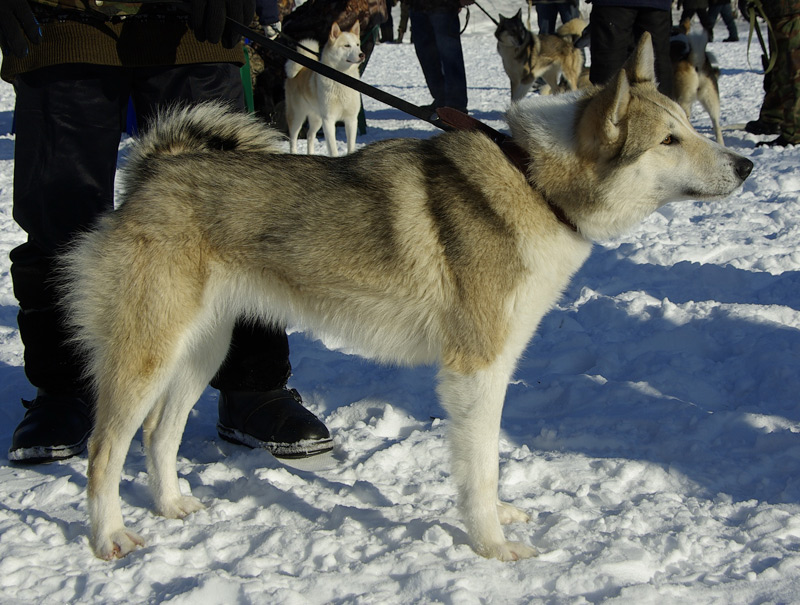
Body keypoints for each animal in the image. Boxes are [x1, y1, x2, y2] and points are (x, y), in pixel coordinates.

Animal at [286, 21, 364, 155]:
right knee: (293, 139)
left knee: (310, 135)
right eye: (347, 45)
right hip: (297, 116)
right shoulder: (328, 120)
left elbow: (351, 146)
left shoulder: (351, 120)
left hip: (316, 118)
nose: (362, 54)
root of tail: (300, 68)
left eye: (357, 44)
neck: (342, 80)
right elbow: (333, 149)